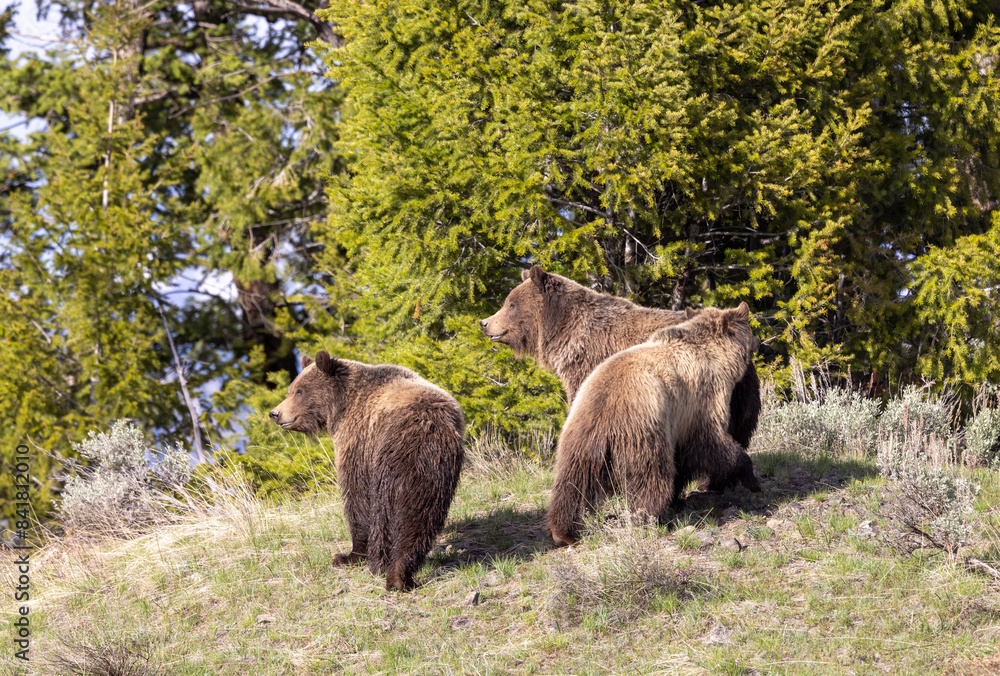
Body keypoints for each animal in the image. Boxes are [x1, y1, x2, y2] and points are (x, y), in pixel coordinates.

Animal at [269, 351, 464, 591]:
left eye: (299, 391)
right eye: (292, 389)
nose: (275, 413)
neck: (340, 407)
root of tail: (428, 430)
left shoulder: (358, 441)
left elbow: (357, 496)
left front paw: (349, 555)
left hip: (393, 463)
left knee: (385, 518)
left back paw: (379, 565)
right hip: (434, 477)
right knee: (420, 520)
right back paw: (401, 576)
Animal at [546, 303, 758, 546]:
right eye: (751, 328)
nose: (759, 341)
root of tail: (605, 410)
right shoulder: (701, 401)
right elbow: (710, 444)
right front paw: (751, 479)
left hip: (578, 438)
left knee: (572, 484)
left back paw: (563, 531)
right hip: (644, 431)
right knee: (652, 478)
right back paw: (648, 517)